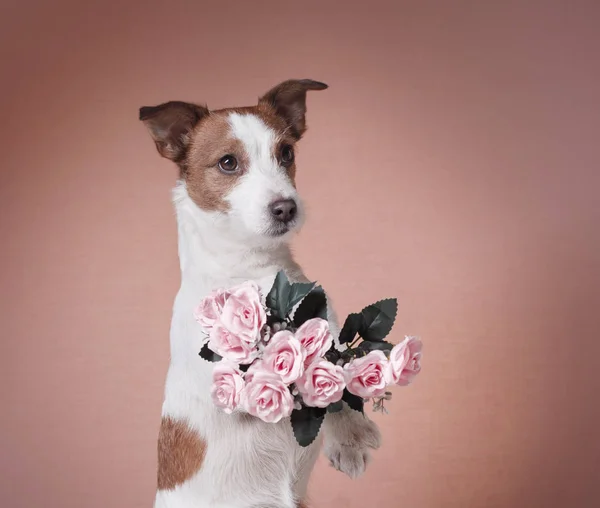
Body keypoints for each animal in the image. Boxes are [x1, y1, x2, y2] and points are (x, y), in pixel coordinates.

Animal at [140, 79, 380, 508]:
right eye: (227, 163)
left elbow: (335, 368)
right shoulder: (228, 373)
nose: (286, 207)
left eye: (286, 153)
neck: (254, 268)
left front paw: (350, 434)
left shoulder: (326, 324)